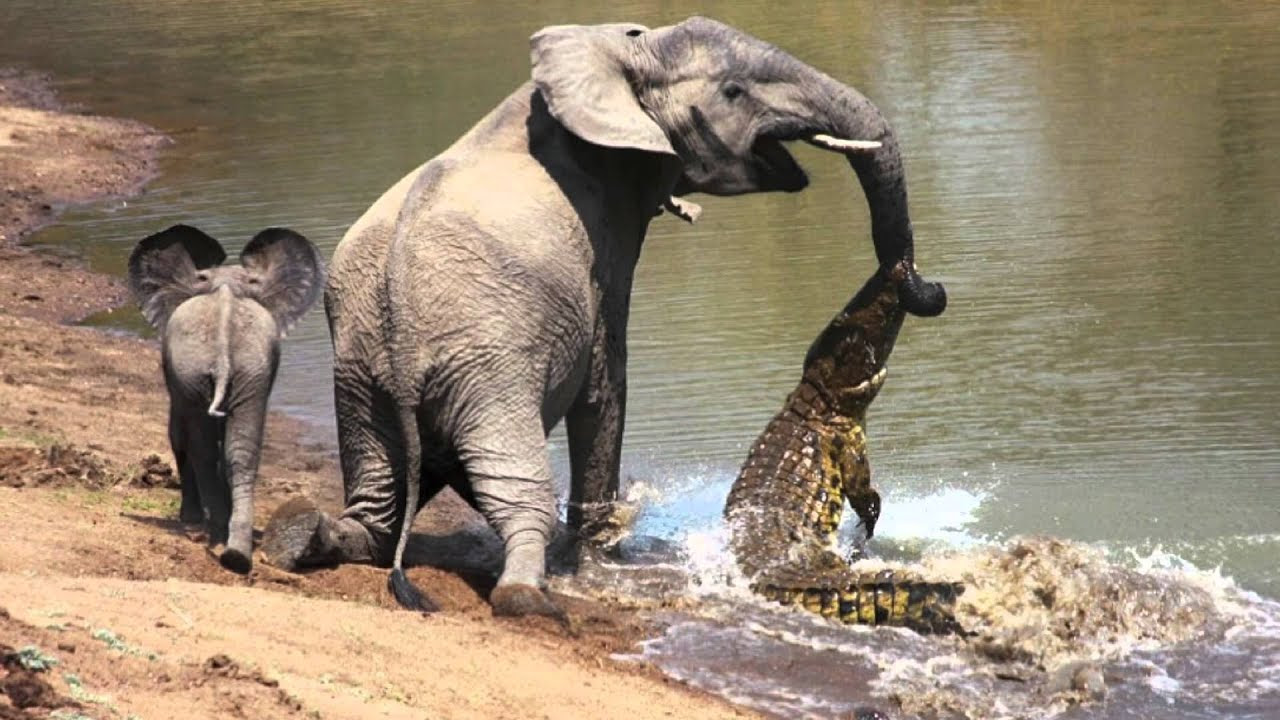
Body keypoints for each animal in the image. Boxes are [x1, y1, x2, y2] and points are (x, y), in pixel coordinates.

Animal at [128, 224, 324, 574]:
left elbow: (177, 434)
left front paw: (190, 521)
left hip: (195, 370)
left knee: (202, 448)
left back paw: (214, 536)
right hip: (251, 370)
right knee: (241, 453)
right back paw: (236, 553)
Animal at [259, 16, 946, 617]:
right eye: (734, 91)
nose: (925, 287)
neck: (619, 52)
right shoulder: (604, 232)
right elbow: (606, 380)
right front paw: (600, 556)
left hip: (359, 375)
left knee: (376, 503)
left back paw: (298, 536)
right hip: (487, 372)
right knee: (517, 494)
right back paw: (527, 597)